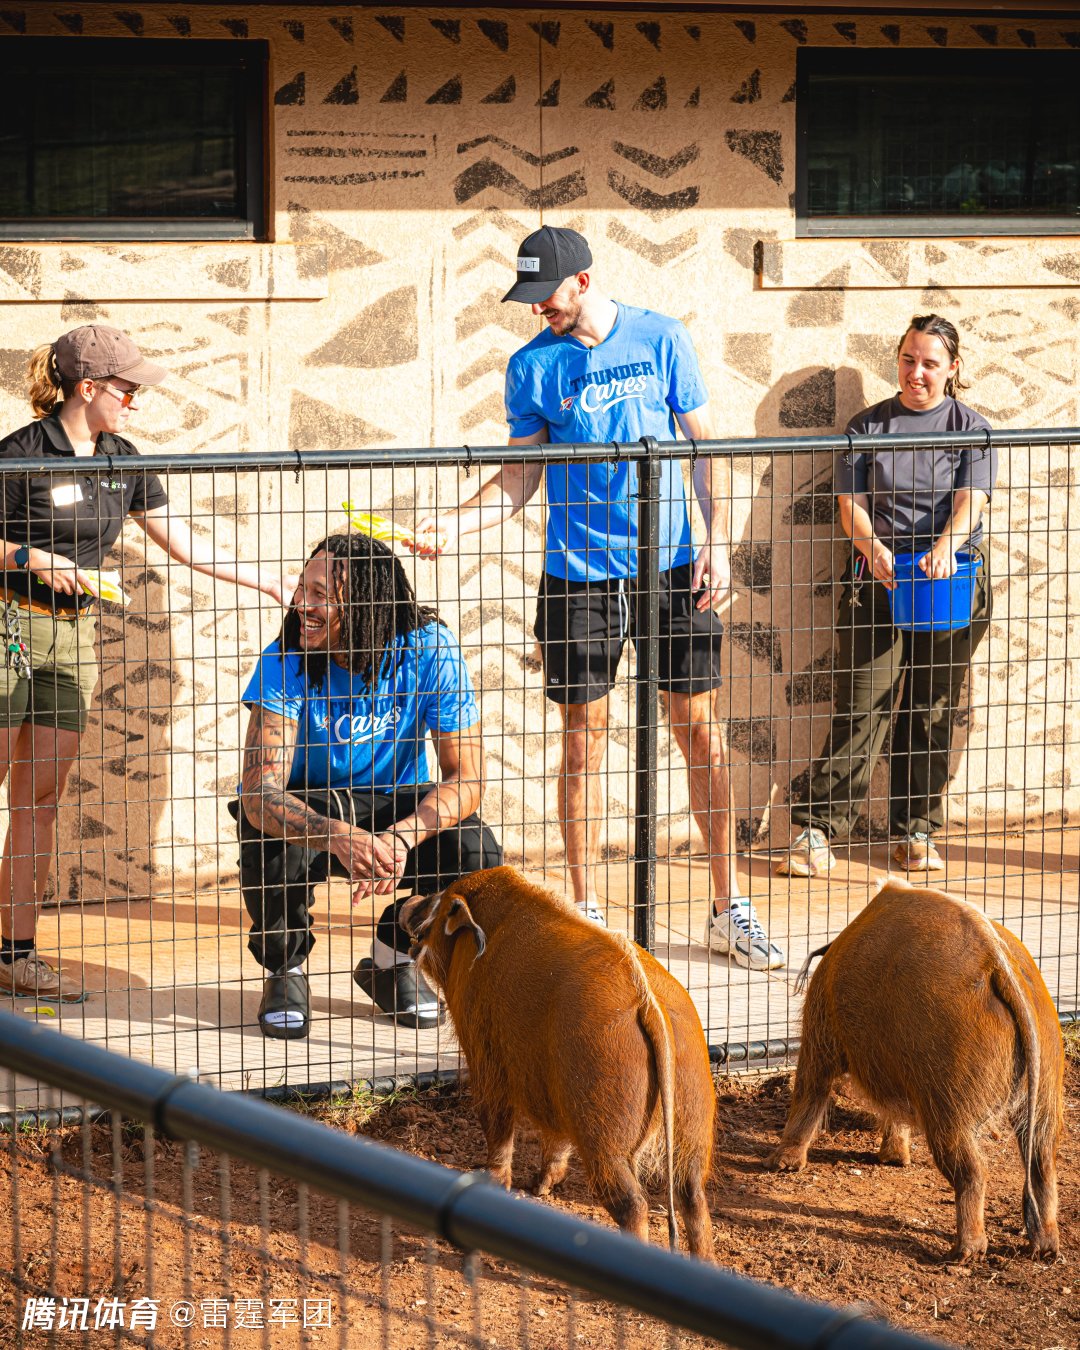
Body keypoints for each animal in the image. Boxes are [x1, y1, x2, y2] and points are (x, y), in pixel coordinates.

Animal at [401, 866, 715, 1259]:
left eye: (440, 904)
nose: (408, 902)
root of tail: (648, 1005)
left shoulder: (484, 1052)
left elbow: (496, 1122)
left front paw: (502, 1183)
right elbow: (555, 1135)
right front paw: (539, 1187)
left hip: (606, 1130)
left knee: (632, 1203)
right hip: (692, 1119)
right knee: (693, 1196)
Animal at [766, 879, 1063, 1262]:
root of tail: (999, 965)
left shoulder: (821, 1029)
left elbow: (810, 1085)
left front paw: (780, 1164)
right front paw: (894, 1159)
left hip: (949, 1094)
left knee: (972, 1168)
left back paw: (964, 1252)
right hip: (1045, 1082)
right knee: (1042, 1158)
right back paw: (1045, 1247)